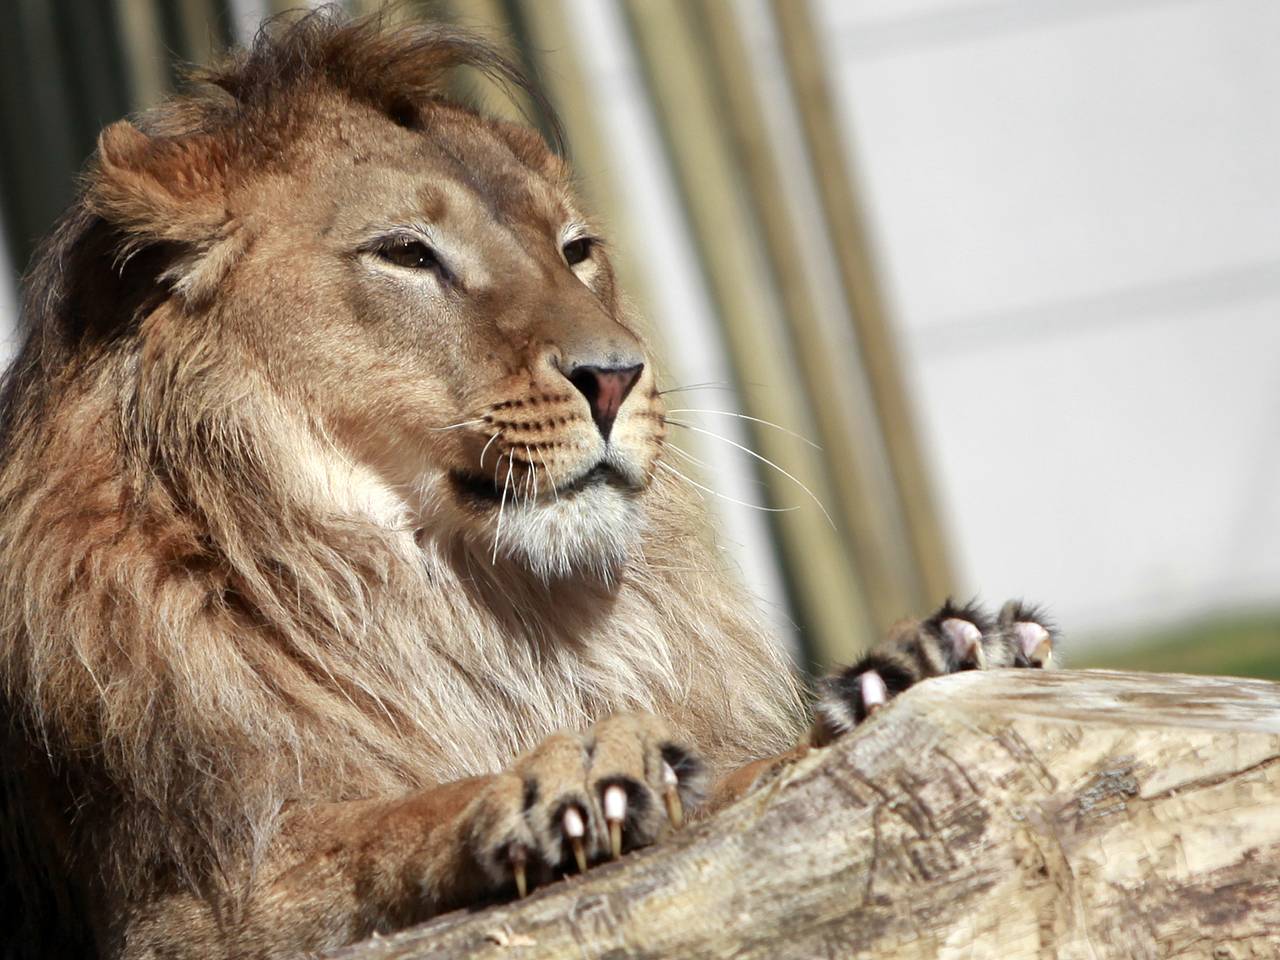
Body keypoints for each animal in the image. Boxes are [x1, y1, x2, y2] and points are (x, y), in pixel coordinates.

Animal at [0, 9, 1054, 960]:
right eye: (407, 253)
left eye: (575, 250)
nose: (618, 376)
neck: (476, 606)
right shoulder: (176, 907)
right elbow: (377, 827)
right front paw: (563, 779)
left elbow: (757, 775)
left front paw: (913, 667)